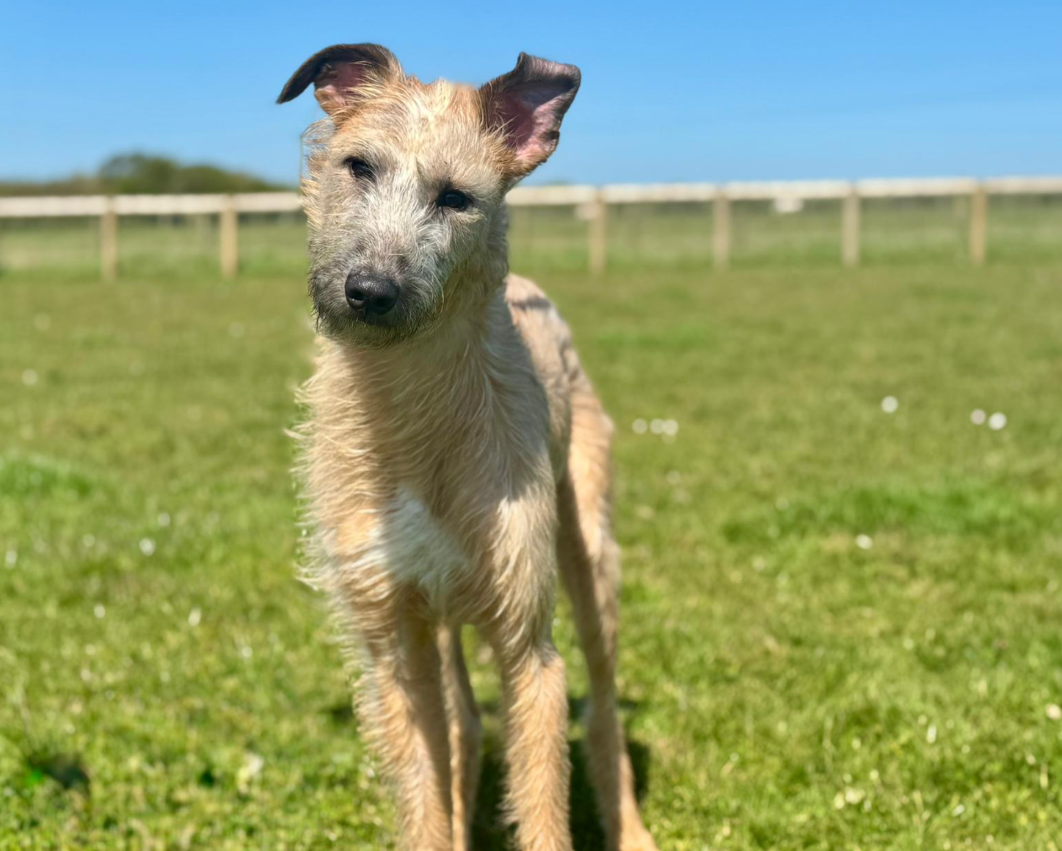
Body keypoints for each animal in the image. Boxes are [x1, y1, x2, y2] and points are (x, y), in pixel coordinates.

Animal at [278, 44, 658, 851]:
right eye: (358, 165)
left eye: (456, 198)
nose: (370, 290)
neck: (413, 417)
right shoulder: (392, 640)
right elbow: (426, 788)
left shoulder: (530, 648)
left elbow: (543, 806)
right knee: (465, 727)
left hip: (589, 558)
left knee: (603, 706)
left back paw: (633, 827)